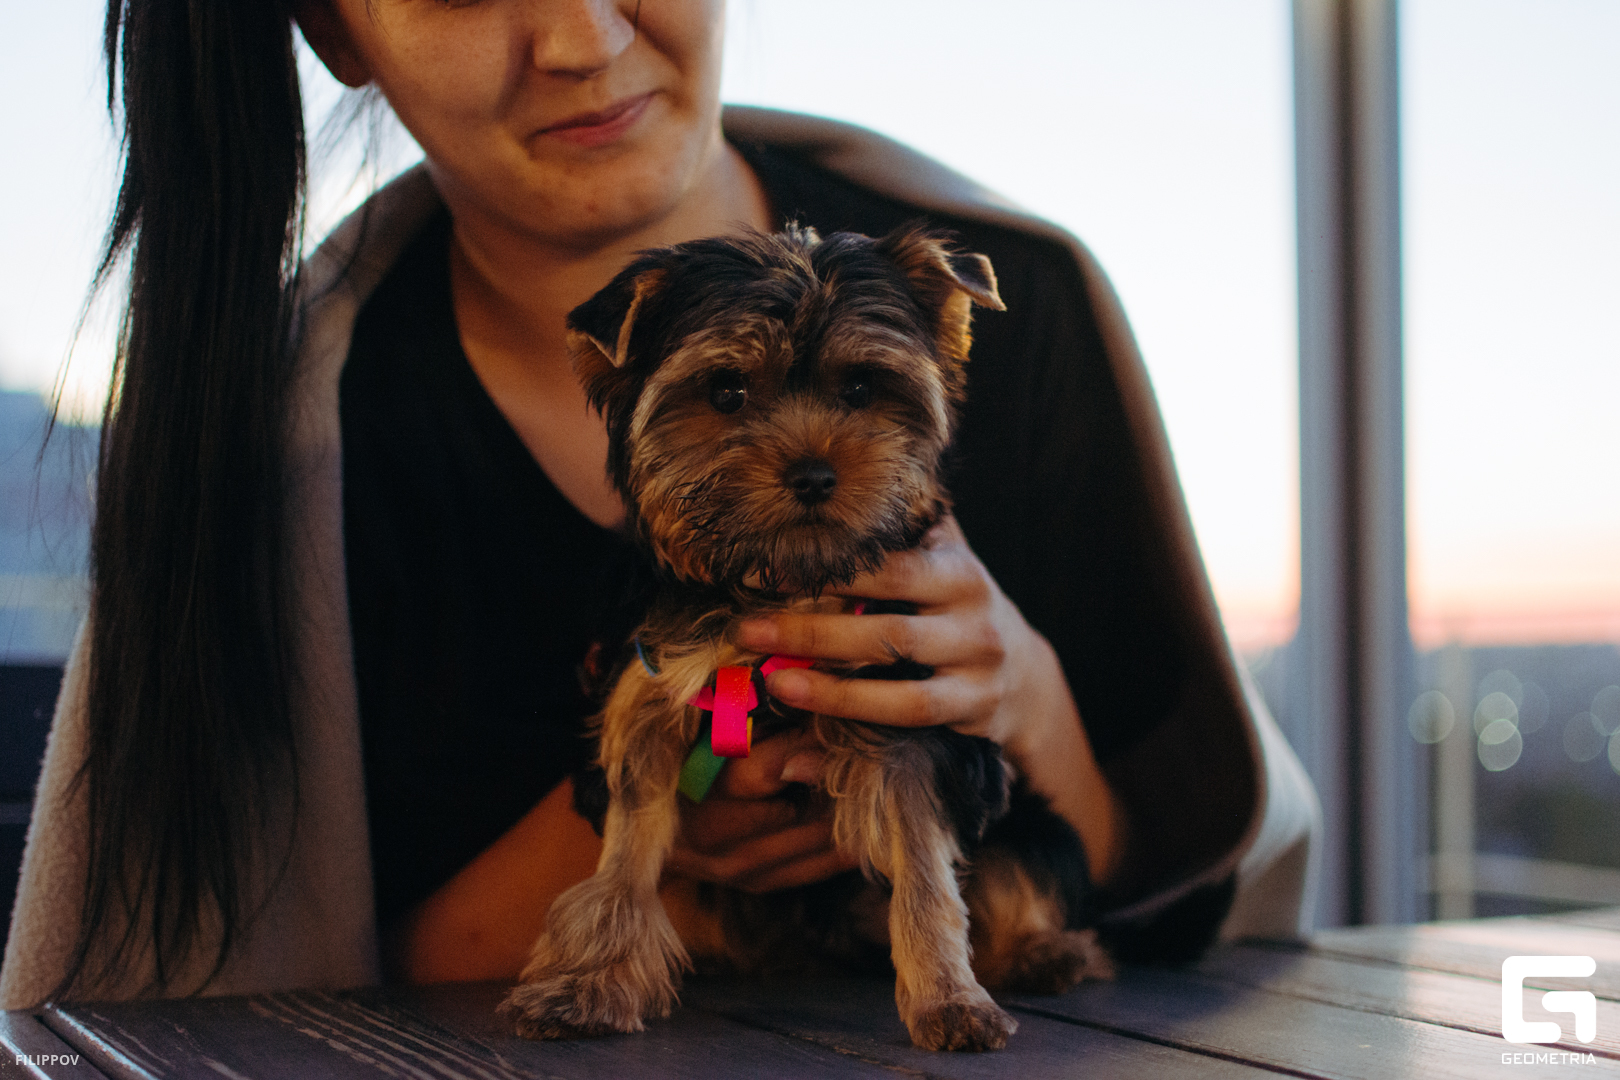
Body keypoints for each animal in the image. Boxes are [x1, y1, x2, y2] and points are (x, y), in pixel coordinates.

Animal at [499, 223, 1113, 1052]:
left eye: (860, 391)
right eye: (726, 393)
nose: (815, 474)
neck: (784, 580)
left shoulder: (905, 701)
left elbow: (925, 870)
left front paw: (949, 1001)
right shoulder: (648, 698)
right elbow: (626, 853)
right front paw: (586, 983)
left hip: (1027, 817)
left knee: (1029, 859)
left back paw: (1045, 951)